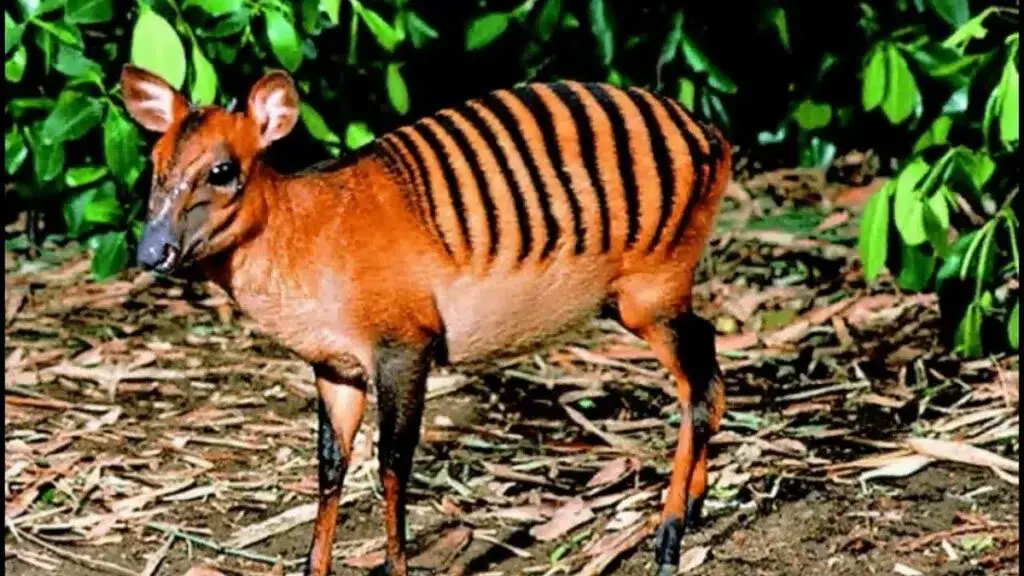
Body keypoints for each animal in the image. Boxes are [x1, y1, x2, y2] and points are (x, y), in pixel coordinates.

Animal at [117, 62, 729, 573]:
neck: (304, 232)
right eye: (154, 166)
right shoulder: (334, 366)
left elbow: (392, 462)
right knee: (709, 372)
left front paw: (396, 566)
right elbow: (331, 464)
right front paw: (315, 567)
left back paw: (670, 534)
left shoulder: (405, 346)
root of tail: (710, 136)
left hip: (651, 288)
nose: (150, 253)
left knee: (699, 380)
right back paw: (696, 504)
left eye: (222, 171)